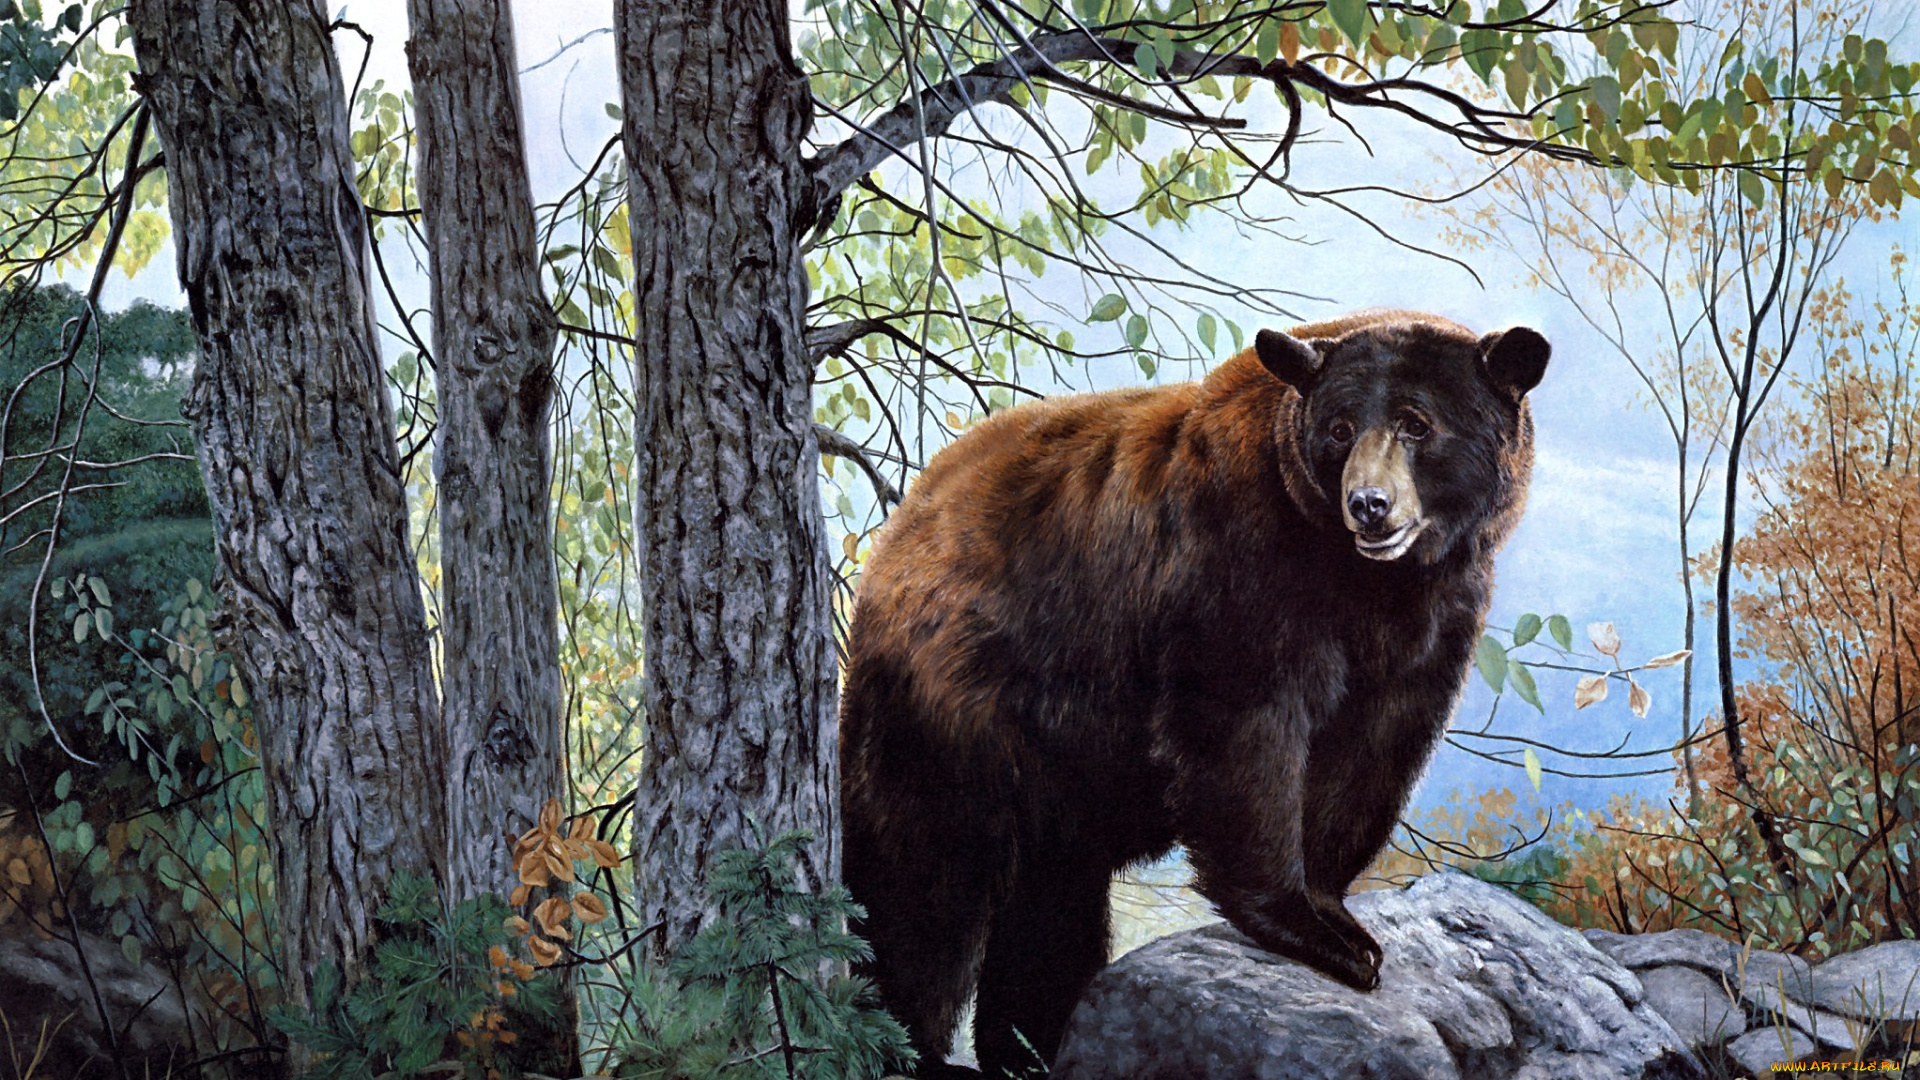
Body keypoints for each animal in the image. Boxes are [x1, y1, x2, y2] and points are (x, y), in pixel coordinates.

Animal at [839, 309, 1550, 1078]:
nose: (1369, 505)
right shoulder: (1238, 560)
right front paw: (1307, 928)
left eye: (1417, 425)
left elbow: (1373, 751)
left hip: (1060, 765)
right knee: (923, 876)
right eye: (1338, 429)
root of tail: (901, 525)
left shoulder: (1434, 618)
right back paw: (906, 1044)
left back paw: (1032, 1046)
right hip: (956, 694)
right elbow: (1242, 728)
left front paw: (1336, 913)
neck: (1364, 580)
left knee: (1051, 899)